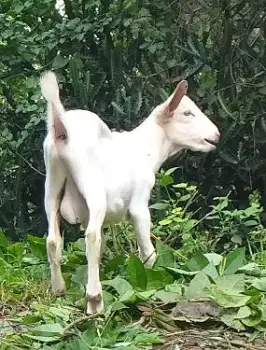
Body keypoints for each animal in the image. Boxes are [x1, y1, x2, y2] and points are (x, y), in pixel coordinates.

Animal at [40, 71, 220, 314]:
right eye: (187, 113)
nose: (216, 135)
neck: (145, 148)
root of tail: (61, 127)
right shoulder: (139, 204)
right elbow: (147, 251)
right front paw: (151, 281)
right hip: (93, 188)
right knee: (91, 237)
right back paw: (95, 301)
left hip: (52, 184)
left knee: (53, 239)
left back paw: (59, 289)